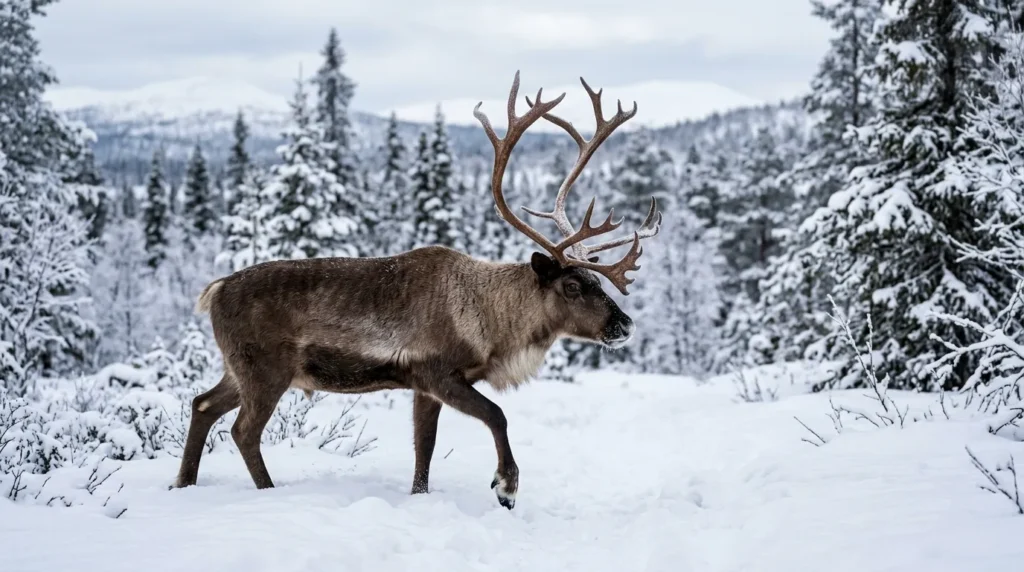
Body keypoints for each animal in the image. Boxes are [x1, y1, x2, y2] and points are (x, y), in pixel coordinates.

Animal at [171, 71, 662, 510]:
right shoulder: (437, 372)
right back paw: (266, 492)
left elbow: (424, 449)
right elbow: (497, 415)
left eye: (598, 280)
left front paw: (422, 497)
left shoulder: (423, 387)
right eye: (574, 284)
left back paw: (183, 484)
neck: (491, 324)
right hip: (266, 369)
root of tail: (213, 291)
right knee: (243, 430)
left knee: (202, 404)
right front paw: (506, 487)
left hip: (239, 368)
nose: (625, 325)